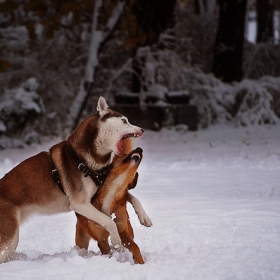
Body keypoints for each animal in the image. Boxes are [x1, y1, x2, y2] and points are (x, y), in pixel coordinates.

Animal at [0, 97, 147, 262]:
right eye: (124, 120)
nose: (142, 130)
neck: (82, 160)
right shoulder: (80, 204)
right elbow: (108, 221)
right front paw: (117, 242)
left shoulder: (102, 188)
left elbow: (129, 196)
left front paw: (144, 217)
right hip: (10, 237)